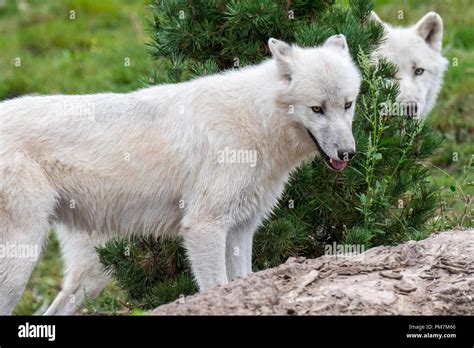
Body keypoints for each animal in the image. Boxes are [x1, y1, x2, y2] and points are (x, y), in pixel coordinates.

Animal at [0, 35, 360, 316]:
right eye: (317, 109)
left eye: (348, 104)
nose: (348, 153)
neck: (254, 121)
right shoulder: (204, 227)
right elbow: (215, 288)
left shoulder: (241, 229)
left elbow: (241, 280)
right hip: (23, 258)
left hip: (92, 273)